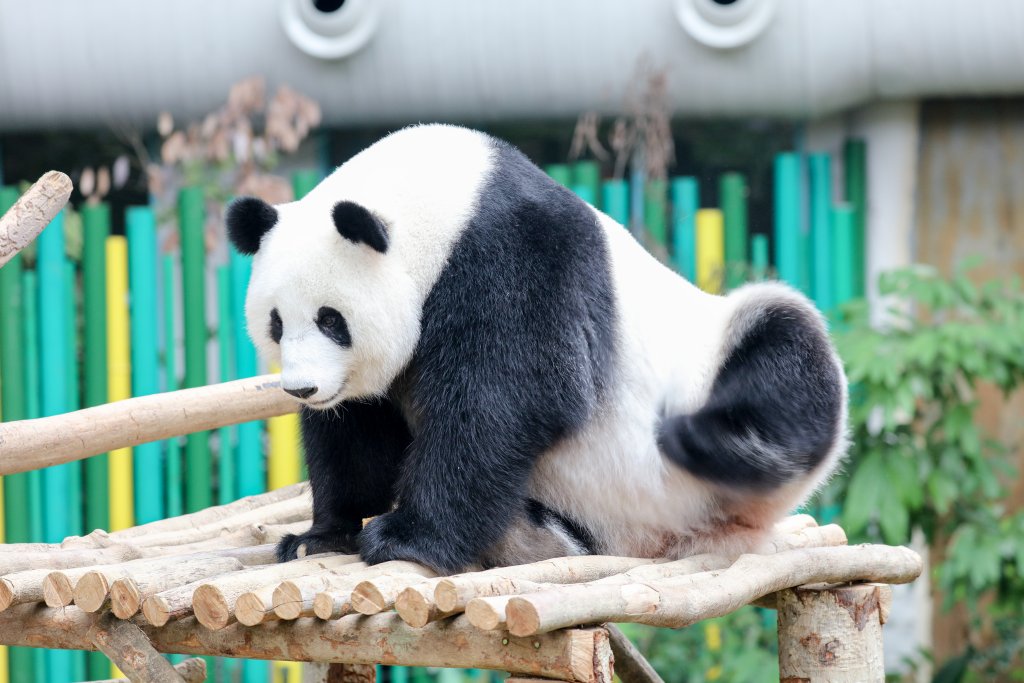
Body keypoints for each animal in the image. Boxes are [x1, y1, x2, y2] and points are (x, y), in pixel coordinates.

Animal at [225, 123, 847, 574]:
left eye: (332, 320)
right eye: (276, 323)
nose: (303, 388)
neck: (441, 196)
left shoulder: (517, 257)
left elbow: (508, 400)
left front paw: (405, 537)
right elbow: (356, 431)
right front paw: (320, 536)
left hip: (708, 358)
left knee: (786, 351)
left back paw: (716, 438)